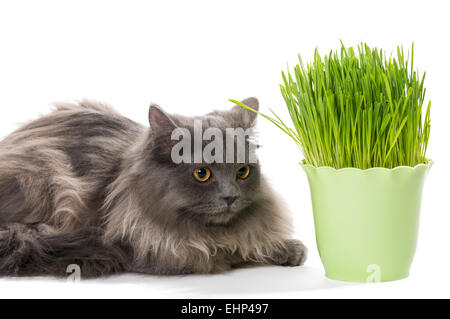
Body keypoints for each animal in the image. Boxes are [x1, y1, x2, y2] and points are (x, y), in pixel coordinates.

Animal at [0, 97, 308, 278]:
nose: (230, 197)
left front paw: (291, 250)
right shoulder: (159, 251)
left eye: (242, 172)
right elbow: (229, 252)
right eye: (202, 174)